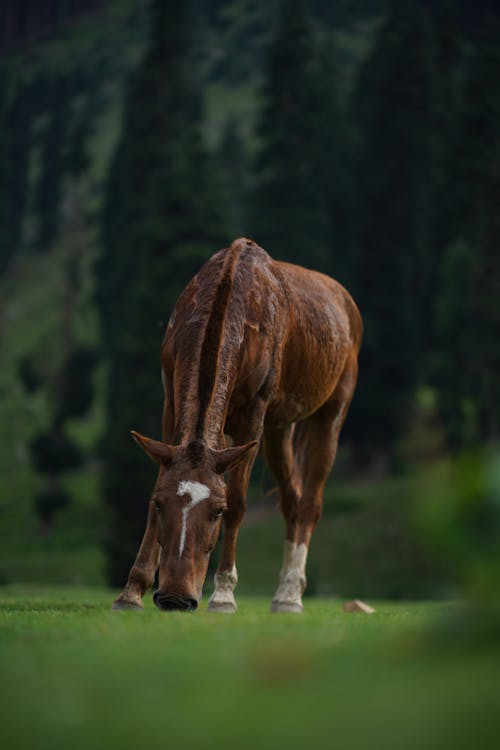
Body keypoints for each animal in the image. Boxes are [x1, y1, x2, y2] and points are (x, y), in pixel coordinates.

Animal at [112, 238, 364, 612]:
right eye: (161, 504)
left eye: (218, 511)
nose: (175, 597)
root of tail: (348, 305)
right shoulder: (171, 401)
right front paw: (130, 591)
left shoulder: (253, 412)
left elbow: (240, 501)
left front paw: (223, 594)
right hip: (279, 427)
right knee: (291, 498)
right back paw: (282, 593)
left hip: (333, 407)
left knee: (310, 503)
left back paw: (291, 594)